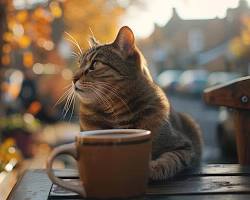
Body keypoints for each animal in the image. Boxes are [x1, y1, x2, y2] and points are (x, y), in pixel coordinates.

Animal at [72, 25, 203, 180]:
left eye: (94, 64)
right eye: (79, 64)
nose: (72, 78)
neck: (116, 112)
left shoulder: (184, 146)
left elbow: (170, 159)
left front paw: (152, 168)